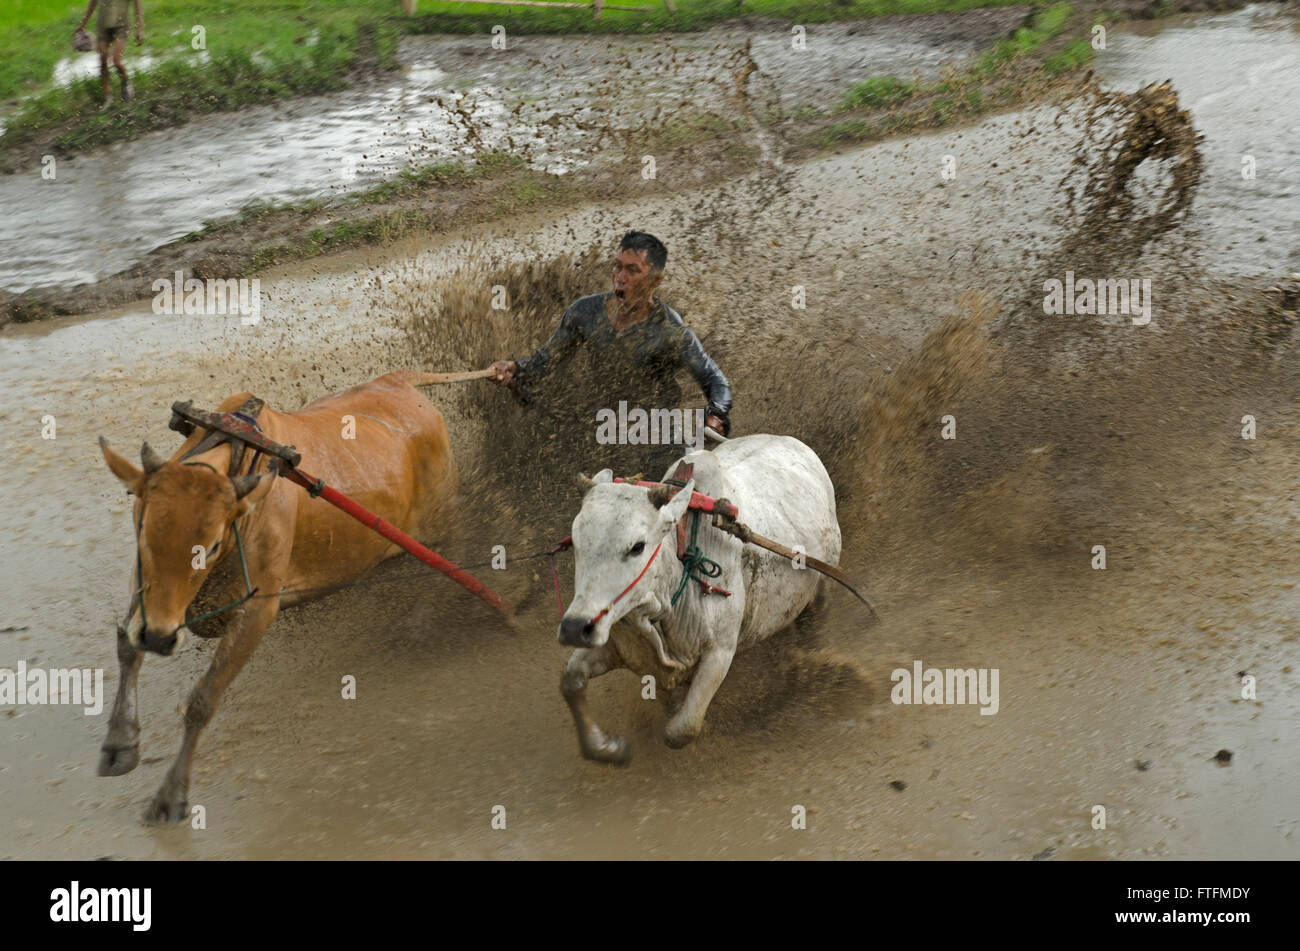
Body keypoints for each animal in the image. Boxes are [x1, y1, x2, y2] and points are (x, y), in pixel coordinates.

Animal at [98, 371, 460, 826]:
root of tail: (402, 382)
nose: (160, 638)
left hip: (441, 535)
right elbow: (127, 646)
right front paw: (119, 744)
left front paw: (171, 794)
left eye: (211, 546)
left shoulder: (260, 607)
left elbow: (202, 700)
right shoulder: (145, 588)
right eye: (143, 529)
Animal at [559, 433, 842, 763]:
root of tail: (794, 443)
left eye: (637, 546)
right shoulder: (617, 644)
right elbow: (571, 682)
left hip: (824, 588)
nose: (575, 627)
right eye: (575, 542)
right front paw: (610, 748)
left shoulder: (720, 652)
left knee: (814, 630)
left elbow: (682, 729)